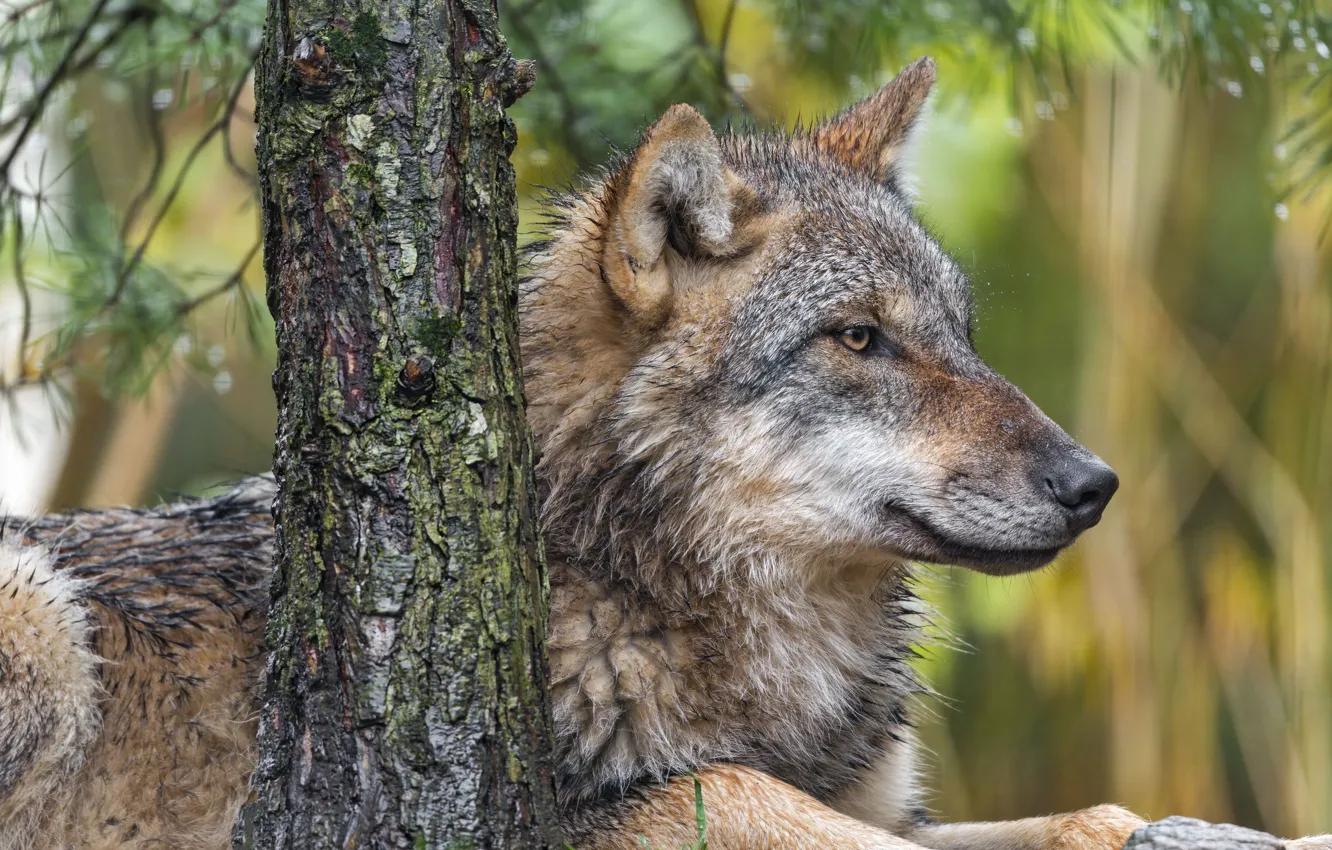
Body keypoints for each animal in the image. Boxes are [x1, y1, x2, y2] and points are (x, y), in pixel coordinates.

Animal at [3, 57, 1328, 850]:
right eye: (860, 337)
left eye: (958, 333)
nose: (1093, 484)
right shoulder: (573, 816)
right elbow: (735, 785)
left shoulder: (891, 805)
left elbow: (1079, 816)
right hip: (40, 624)